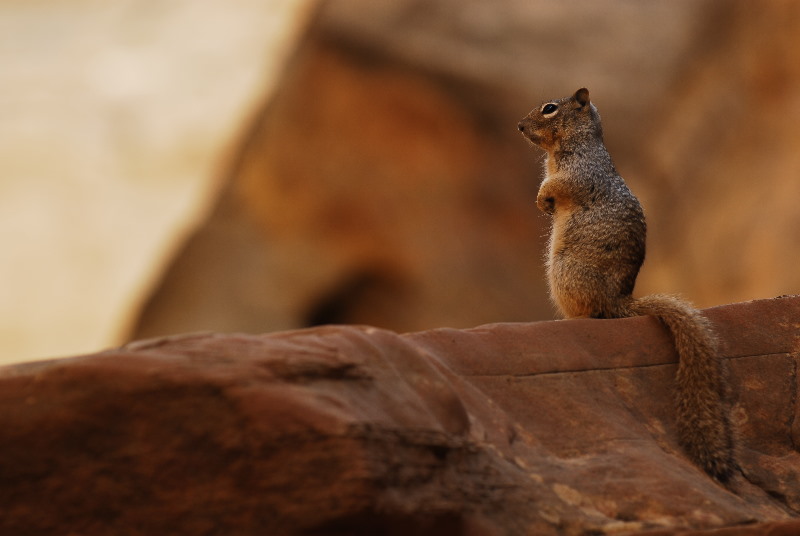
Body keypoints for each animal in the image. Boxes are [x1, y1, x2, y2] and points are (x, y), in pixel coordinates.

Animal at [516, 88, 736, 482]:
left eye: (549, 108)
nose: (519, 125)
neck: (566, 147)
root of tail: (621, 301)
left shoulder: (577, 172)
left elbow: (555, 186)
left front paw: (542, 201)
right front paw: (544, 206)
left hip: (564, 272)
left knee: (593, 314)